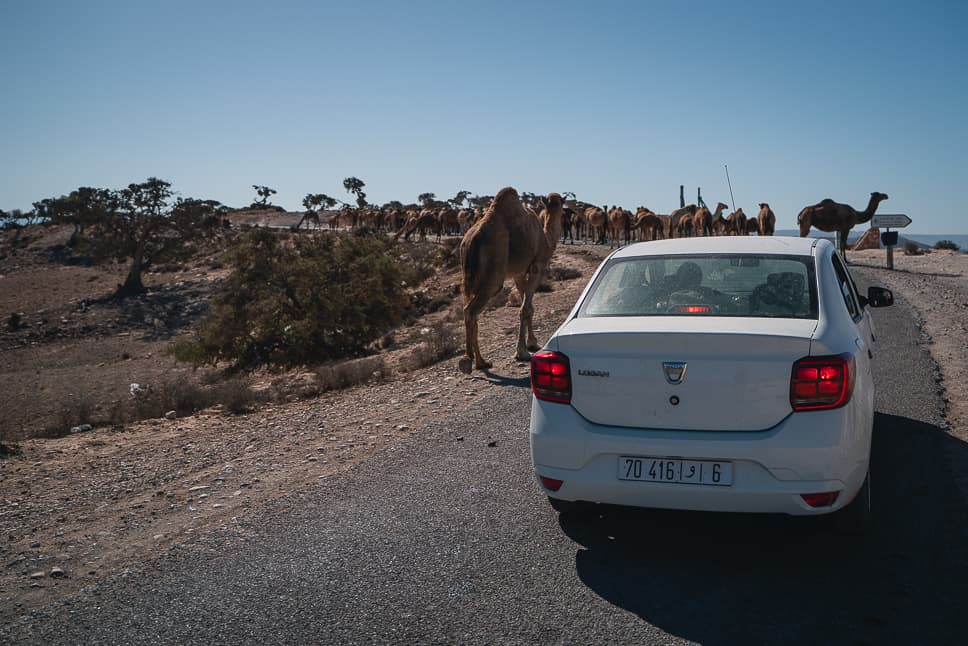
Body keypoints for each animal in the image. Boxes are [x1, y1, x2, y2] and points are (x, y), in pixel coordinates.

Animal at [456, 189, 564, 374]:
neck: (546, 241)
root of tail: (471, 241)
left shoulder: (518, 273)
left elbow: (529, 307)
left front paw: (532, 343)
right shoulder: (537, 267)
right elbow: (525, 308)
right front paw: (522, 352)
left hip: (469, 279)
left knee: (469, 310)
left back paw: (480, 362)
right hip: (493, 277)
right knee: (471, 311)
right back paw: (471, 361)